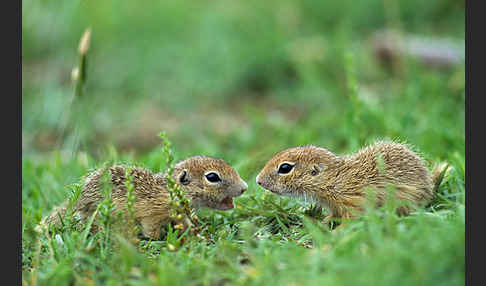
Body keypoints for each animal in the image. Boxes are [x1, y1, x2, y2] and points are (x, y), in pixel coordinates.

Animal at [39, 156, 247, 239]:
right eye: (212, 177)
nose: (245, 187)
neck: (169, 191)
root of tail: (78, 200)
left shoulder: (180, 214)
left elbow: (186, 224)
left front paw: (198, 233)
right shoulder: (153, 215)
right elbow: (151, 230)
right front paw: (160, 240)